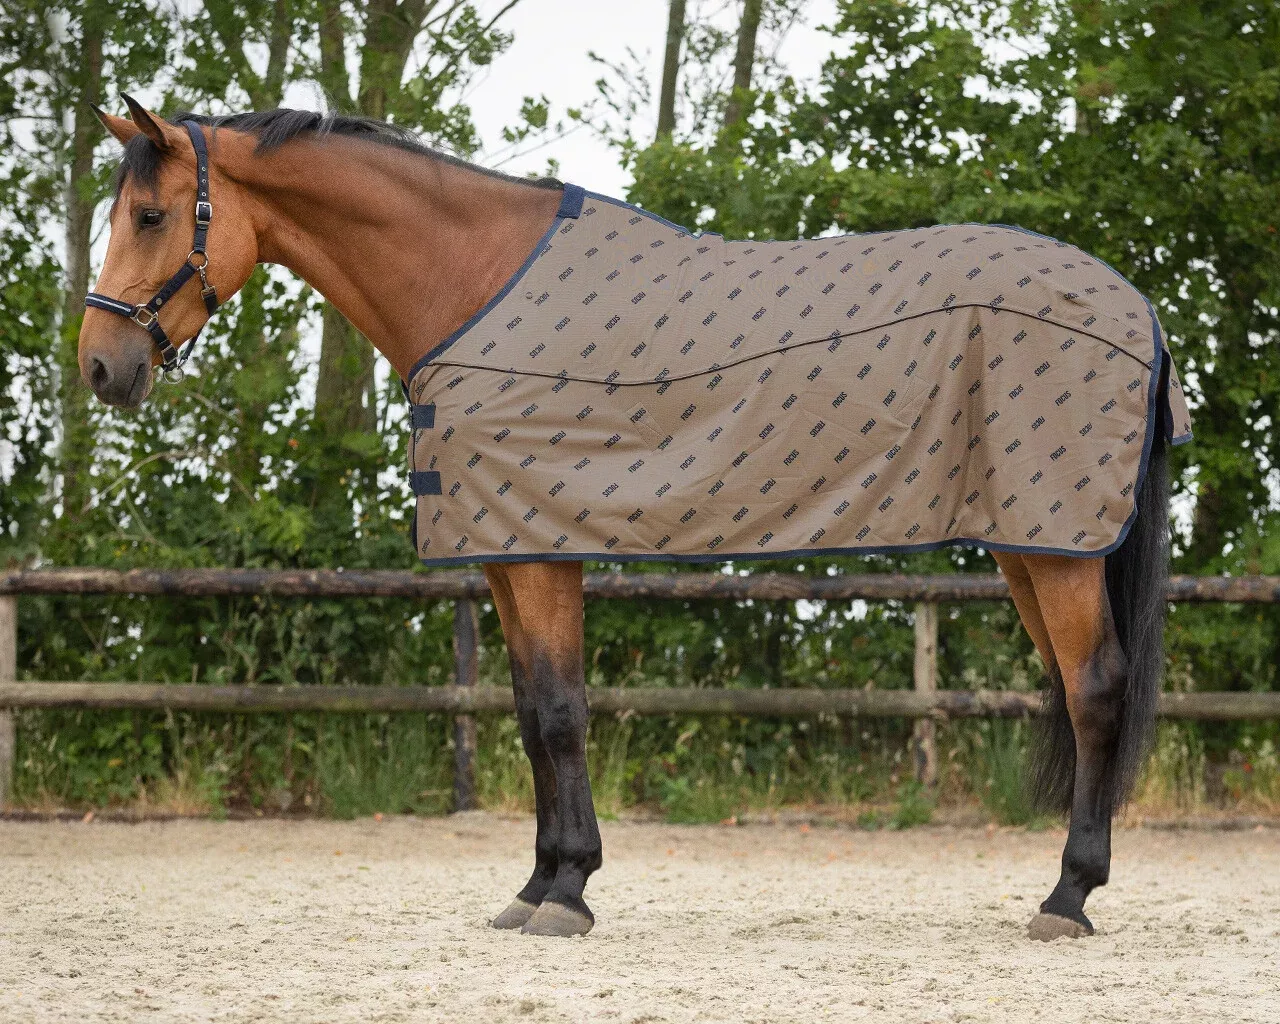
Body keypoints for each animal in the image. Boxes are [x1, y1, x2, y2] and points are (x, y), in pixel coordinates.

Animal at [79, 98, 1188, 941]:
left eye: (150, 214)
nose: (100, 366)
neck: (470, 283)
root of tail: (1136, 308)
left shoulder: (540, 547)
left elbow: (562, 712)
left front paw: (567, 893)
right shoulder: (509, 545)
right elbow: (531, 712)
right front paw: (536, 884)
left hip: (1055, 542)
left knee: (1095, 690)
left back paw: (1066, 899)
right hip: (1030, 542)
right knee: (1077, 689)